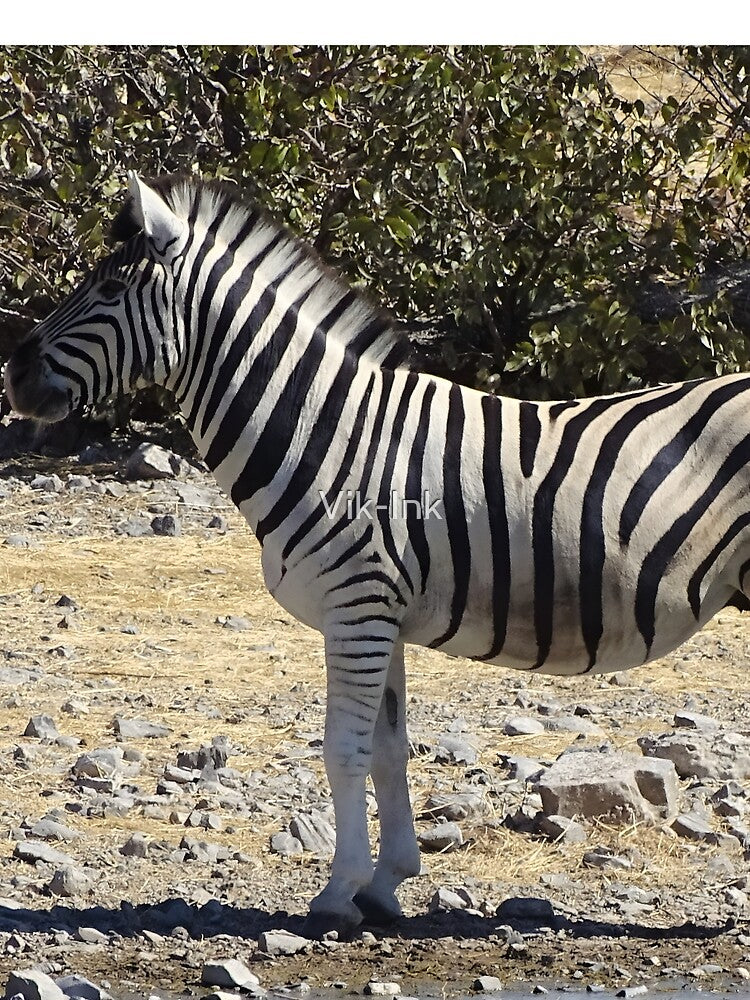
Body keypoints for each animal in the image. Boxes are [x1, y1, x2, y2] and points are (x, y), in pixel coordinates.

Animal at [5, 172, 750, 934]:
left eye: (108, 289)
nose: (12, 376)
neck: (332, 434)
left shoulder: (356, 608)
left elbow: (344, 751)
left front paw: (337, 894)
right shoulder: (380, 614)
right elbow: (389, 750)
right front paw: (387, 884)